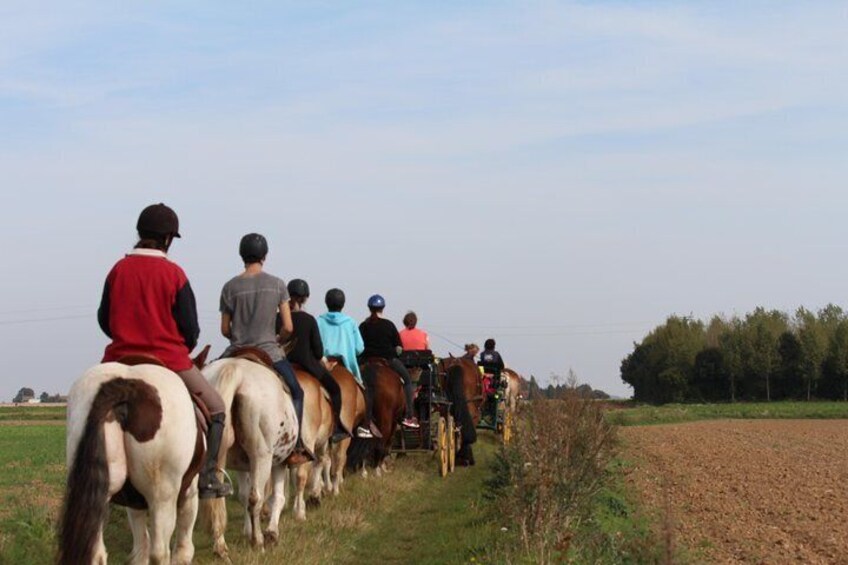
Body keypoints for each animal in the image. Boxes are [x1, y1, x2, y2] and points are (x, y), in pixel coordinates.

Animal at [58, 362, 202, 564]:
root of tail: (124, 385)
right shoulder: (190, 491)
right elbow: (183, 548)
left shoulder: (133, 503)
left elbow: (140, 547)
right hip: (162, 494)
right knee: (159, 552)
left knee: (96, 552)